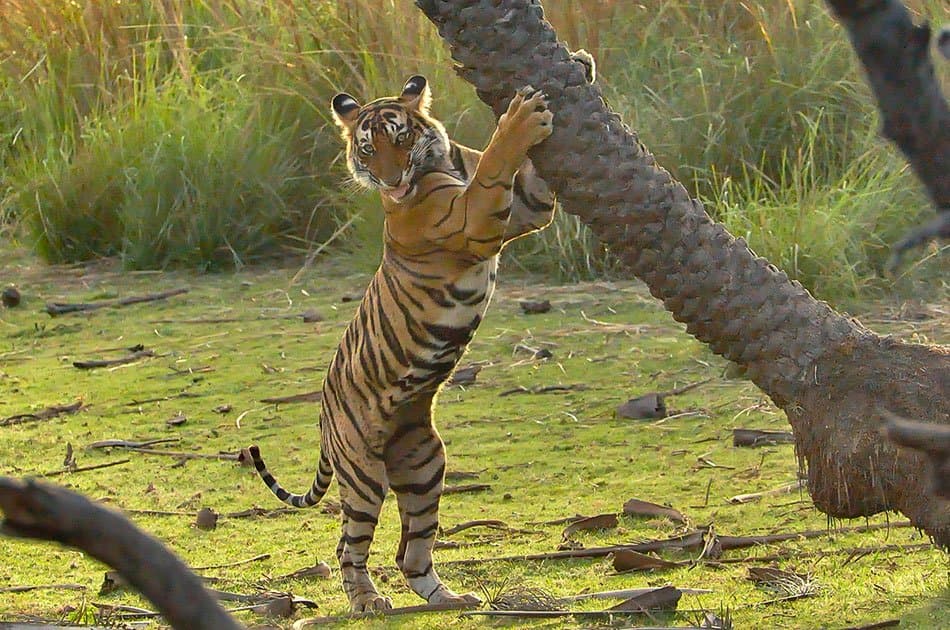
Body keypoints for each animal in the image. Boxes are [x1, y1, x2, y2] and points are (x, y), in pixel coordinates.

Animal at [247, 64, 586, 612]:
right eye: (366, 149)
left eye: (400, 137)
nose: (391, 180)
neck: (440, 158)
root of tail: (323, 421)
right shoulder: (475, 219)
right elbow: (498, 159)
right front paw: (518, 118)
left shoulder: (526, 208)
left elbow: (533, 180)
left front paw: (580, 64)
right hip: (363, 474)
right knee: (348, 545)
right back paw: (366, 601)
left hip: (425, 462)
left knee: (411, 551)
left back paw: (449, 598)